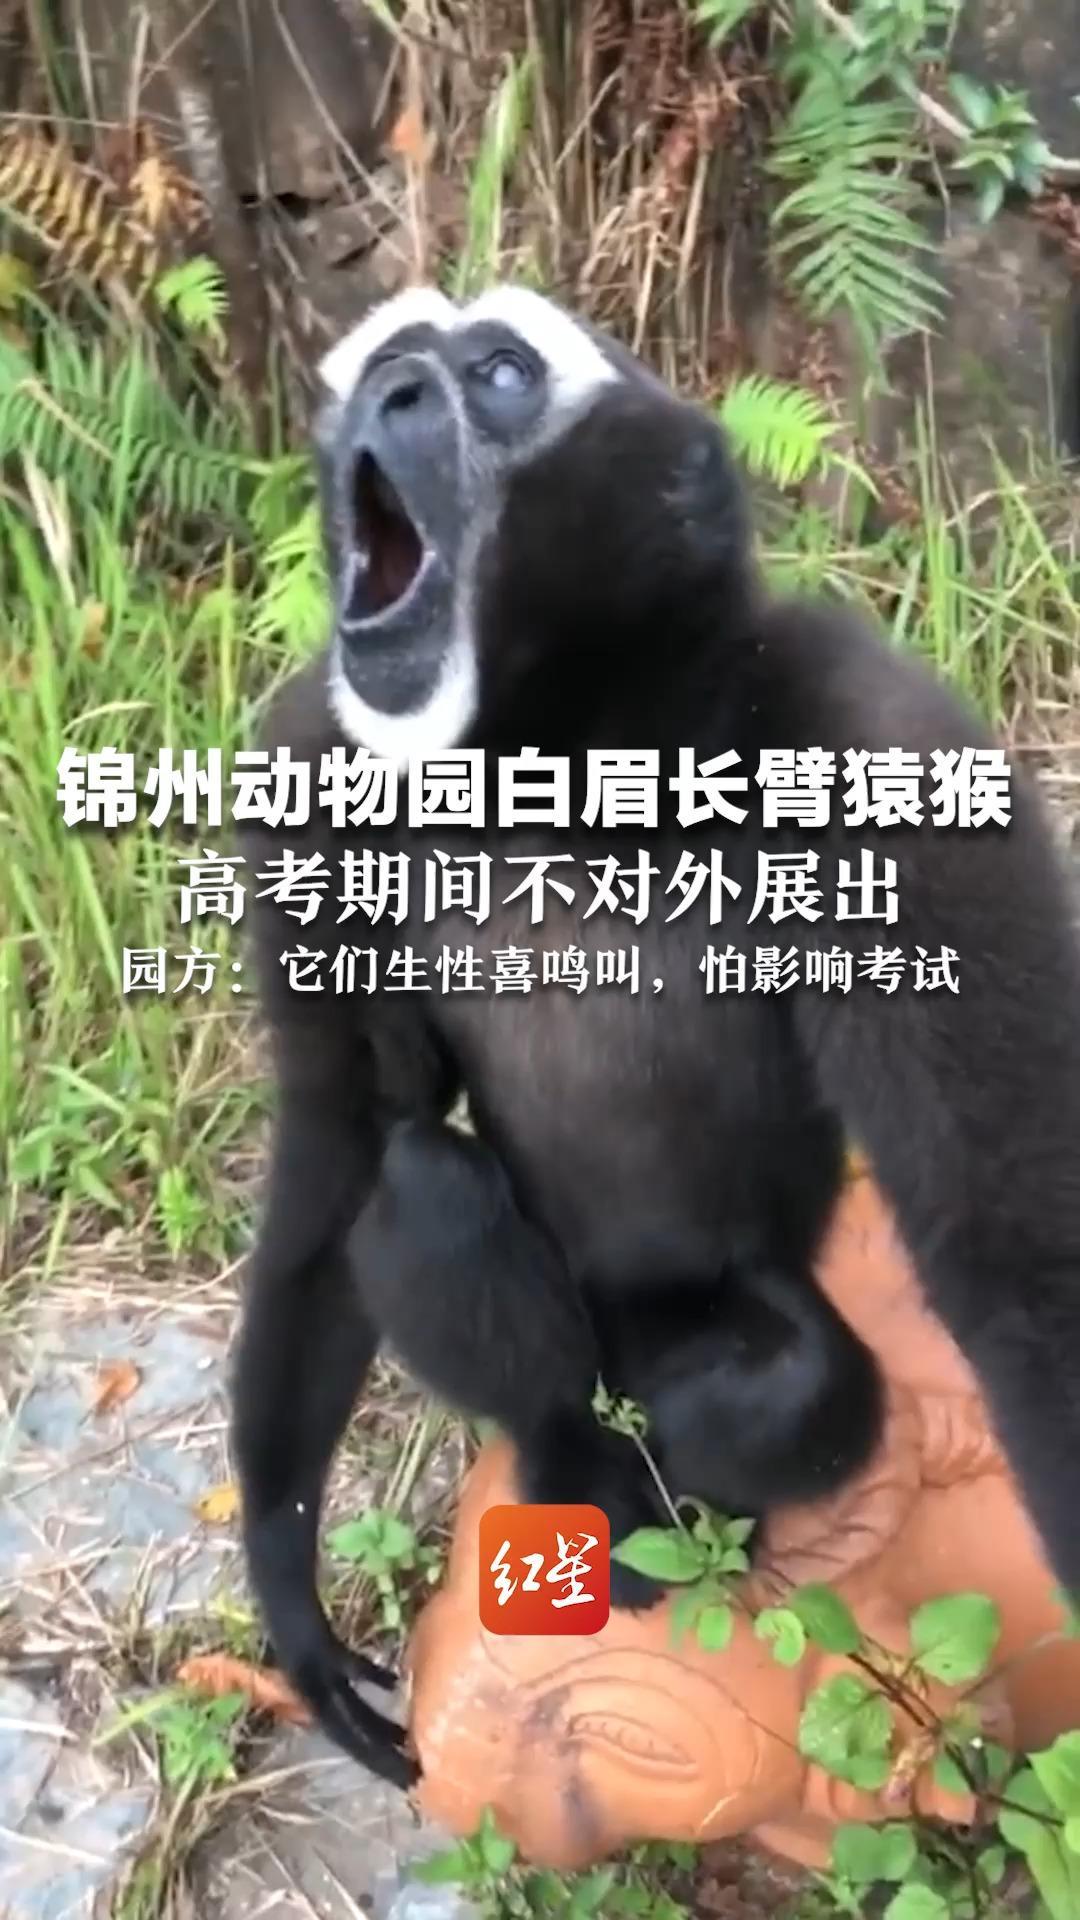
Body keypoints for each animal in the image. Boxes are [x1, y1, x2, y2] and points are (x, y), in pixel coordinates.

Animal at [231, 282, 1080, 1789]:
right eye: (383, 363)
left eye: (498, 373)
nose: (388, 391)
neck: (564, 745)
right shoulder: (308, 760)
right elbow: (340, 1137)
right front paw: (287, 1587)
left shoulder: (874, 730)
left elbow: (1010, 1243)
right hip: (577, 1353)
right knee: (425, 1185)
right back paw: (577, 1480)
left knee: (794, 1376)